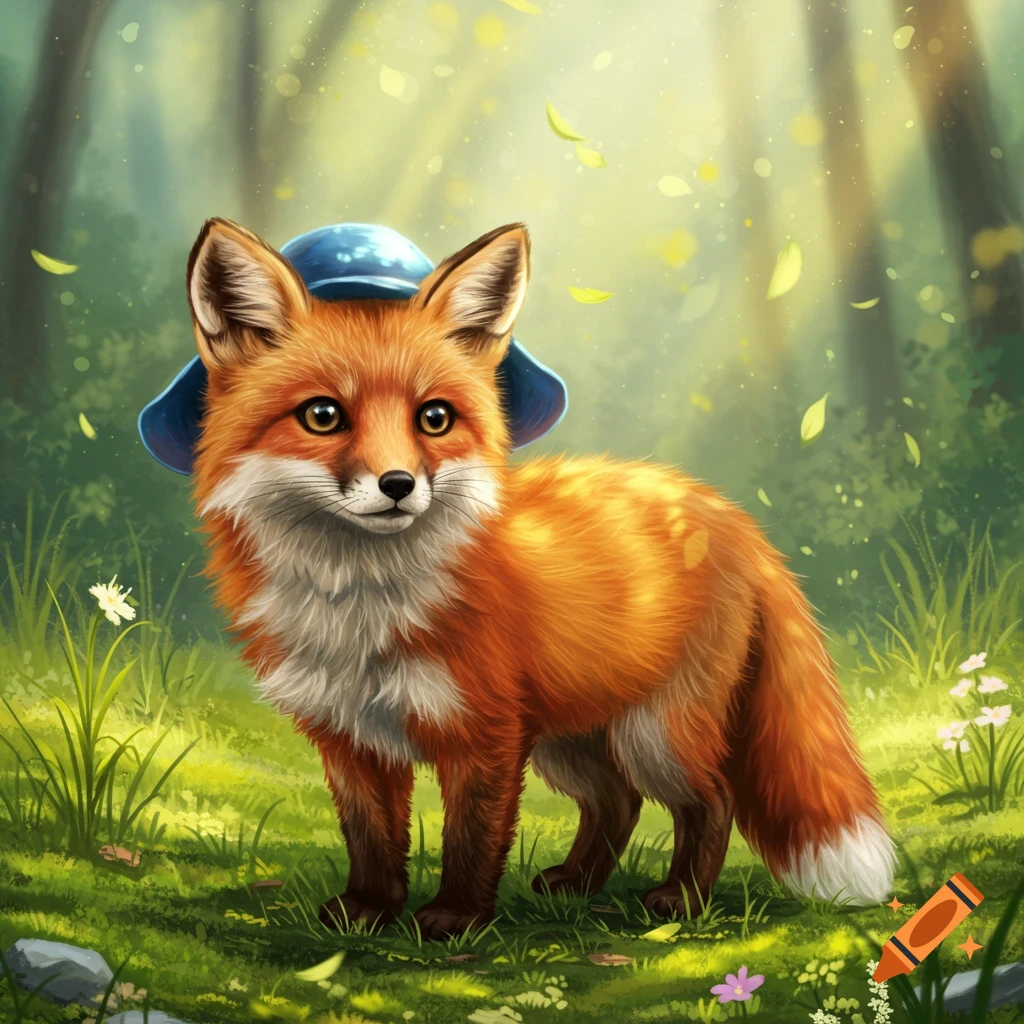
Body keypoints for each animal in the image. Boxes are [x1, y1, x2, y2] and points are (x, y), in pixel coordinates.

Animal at [182, 216, 895, 940]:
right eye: (322, 415)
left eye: (434, 418)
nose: (398, 485)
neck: (361, 607)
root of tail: (726, 511)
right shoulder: (351, 736)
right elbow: (371, 836)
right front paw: (368, 912)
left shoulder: (488, 733)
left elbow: (472, 836)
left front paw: (456, 919)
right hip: (571, 740)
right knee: (618, 802)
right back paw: (577, 884)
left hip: (654, 733)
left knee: (711, 799)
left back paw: (683, 899)